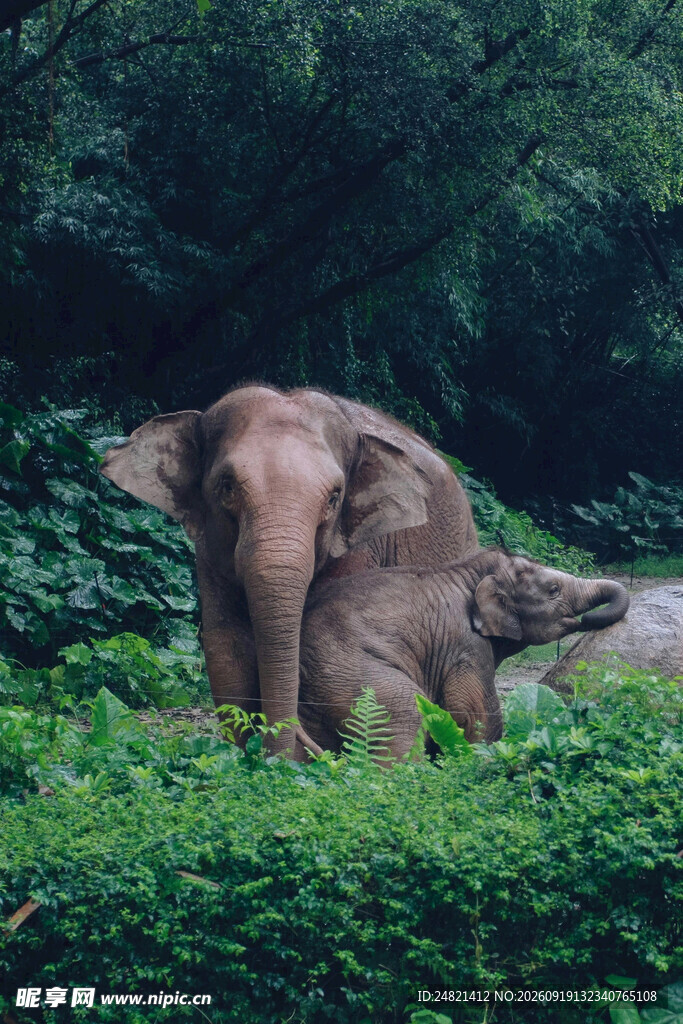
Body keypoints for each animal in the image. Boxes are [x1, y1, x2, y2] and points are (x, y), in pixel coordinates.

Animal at [100, 385, 478, 756]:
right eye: (227, 485)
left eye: (334, 497)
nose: (284, 750)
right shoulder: (208, 553)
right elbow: (226, 650)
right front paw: (253, 759)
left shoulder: (360, 547)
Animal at [297, 548, 630, 757]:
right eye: (553, 590)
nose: (589, 619)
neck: (468, 571)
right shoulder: (465, 645)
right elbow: (475, 714)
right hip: (348, 671)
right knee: (404, 714)